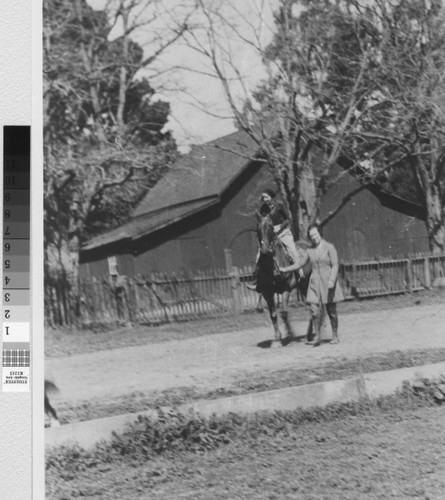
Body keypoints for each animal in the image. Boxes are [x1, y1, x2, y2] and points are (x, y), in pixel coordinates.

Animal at [255, 215, 310, 344]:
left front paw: (289, 335)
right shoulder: (267, 292)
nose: (265, 250)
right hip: (303, 286)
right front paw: (278, 336)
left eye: (270, 228)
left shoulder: (286, 289)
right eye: (257, 230)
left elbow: (284, 312)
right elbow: (274, 314)